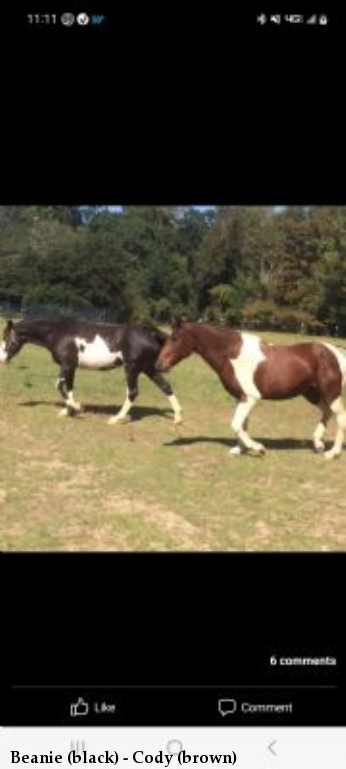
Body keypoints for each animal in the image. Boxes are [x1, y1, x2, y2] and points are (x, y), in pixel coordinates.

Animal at [0, 318, 184, 426]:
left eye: (6, 338)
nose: (2, 359)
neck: (59, 333)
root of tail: (152, 332)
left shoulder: (66, 365)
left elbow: (59, 386)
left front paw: (77, 407)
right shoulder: (71, 367)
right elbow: (69, 388)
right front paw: (68, 411)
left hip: (132, 368)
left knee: (133, 392)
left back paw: (116, 418)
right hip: (149, 368)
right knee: (166, 386)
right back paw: (178, 418)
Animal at [157, 318, 346, 456]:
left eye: (174, 338)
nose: (159, 365)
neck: (231, 354)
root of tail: (334, 352)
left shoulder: (249, 398)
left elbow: (235, 425)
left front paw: (257, 448)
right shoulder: (240, 398)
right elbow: (242, 424)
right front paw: (240, 449)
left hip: (331, 394)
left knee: (340, 417)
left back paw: (333, 452)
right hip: (312, 394)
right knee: (326, 412)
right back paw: (318, 444)